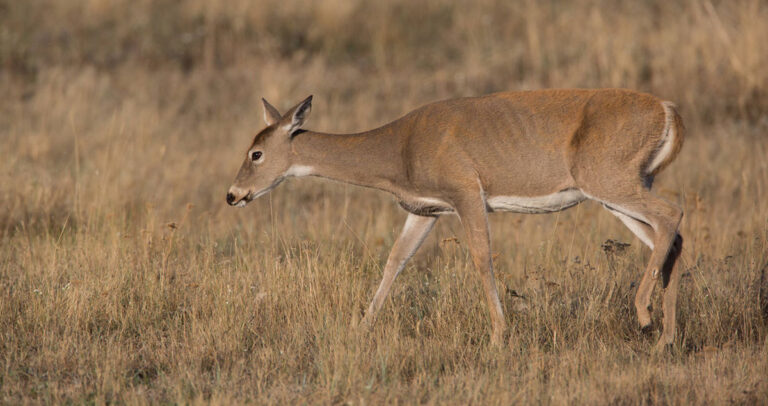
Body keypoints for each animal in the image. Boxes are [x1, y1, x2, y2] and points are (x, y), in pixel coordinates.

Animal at [226, 90, 684, 350]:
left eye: (256, 153)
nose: (233, 195)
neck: (400, 148)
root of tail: (669, 111)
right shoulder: (425, 211)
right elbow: (395, 261)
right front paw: (361, 328)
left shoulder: (467, 194)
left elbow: (482, 258)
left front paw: (499, 337)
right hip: (618, 191)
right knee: (672, 237)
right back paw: (666, 338)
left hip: (609, 181)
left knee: (672, 215)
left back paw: (644, 316)